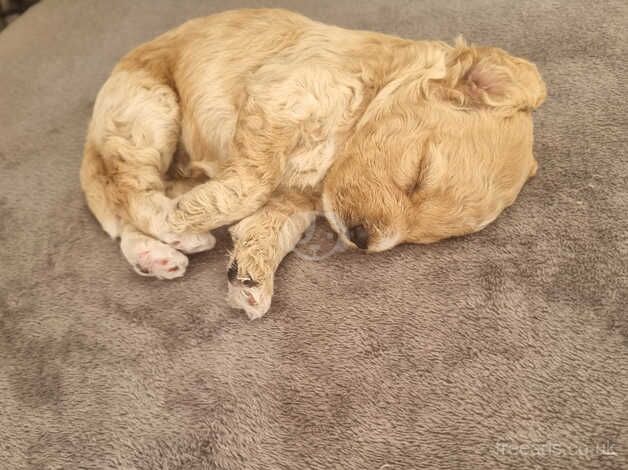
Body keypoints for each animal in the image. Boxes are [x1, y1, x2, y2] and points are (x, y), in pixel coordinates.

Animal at [82, 9, 544, 320]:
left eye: (424, 236)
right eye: (418, 173)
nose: (361, 239)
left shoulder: (299, 201)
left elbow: (268, 227)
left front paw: (251, 278)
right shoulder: (280, 100)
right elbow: (254, 181)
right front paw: (191, 217)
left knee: (125, 214)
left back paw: (159, 255)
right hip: (149, 111)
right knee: (128, 190)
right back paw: (177, 228)